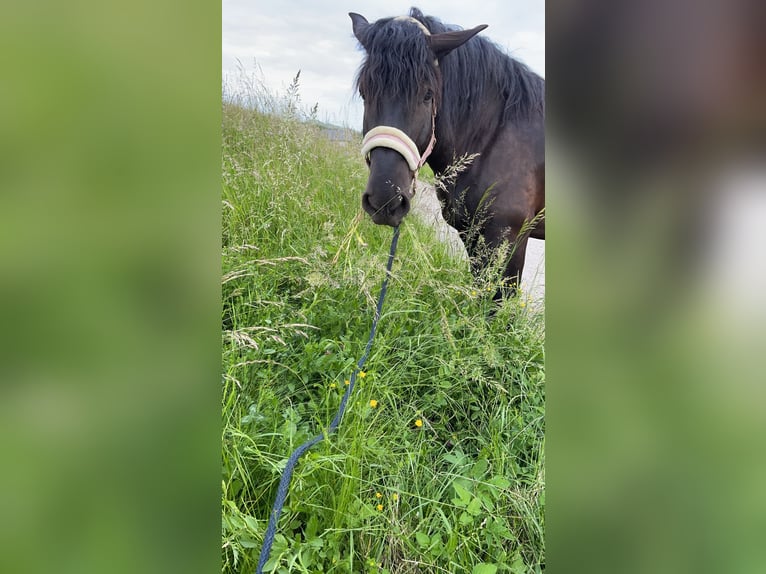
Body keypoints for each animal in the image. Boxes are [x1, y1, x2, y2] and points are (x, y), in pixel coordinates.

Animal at [350, 7, 544, 295]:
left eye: (428, 95)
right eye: (365, 92)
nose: (385, 201)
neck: (493, 137)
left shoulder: (508, 240)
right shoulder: (472, 235)